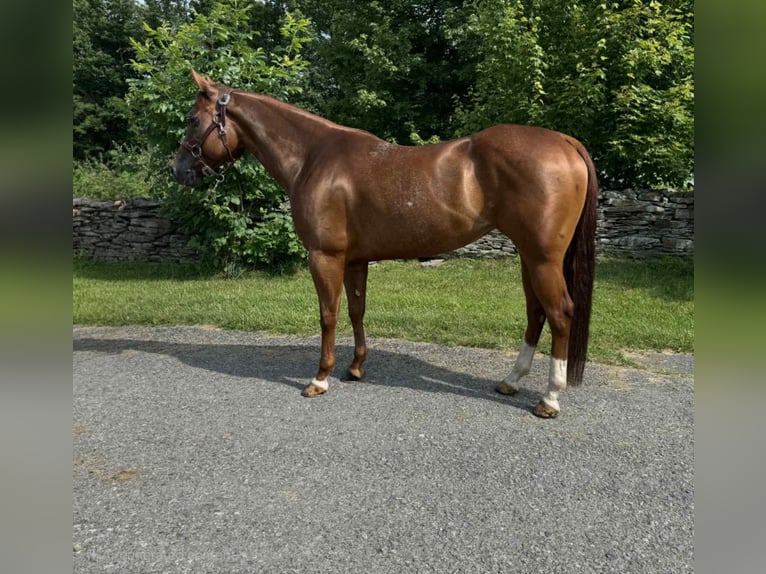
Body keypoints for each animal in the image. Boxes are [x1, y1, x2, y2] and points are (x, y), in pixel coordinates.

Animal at [172, 70, 598, 418]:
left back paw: (549, 399)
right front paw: (356, 367)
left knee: (559, 313)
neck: (313, 157)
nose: (177, 170)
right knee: (535, 313)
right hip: (530, 257)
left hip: (542, 259)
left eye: (193, 120)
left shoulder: (324, 256)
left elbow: (328, 314)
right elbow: (356, 310)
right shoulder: (355, 260)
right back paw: (510, 381)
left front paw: (320, 379)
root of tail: (565, 141)